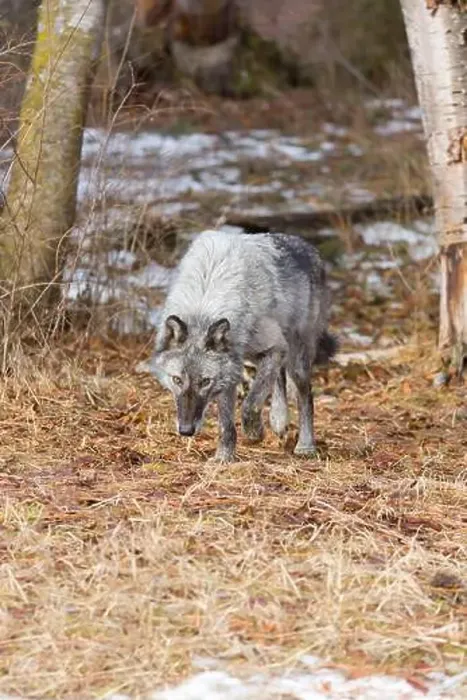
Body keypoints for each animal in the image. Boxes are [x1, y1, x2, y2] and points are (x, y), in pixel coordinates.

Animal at [149, 229, 337, 462]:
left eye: (204, 382)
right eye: (176, 380)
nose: (185, 430)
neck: (204, 307)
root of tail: (309, 247)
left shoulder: (272, 349)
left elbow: (251, 402)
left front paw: (254, 432)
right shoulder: (231, 369)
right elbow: (226, 424)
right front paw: (223, 457)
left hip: (296, 358)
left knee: (305, 395)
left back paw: (305, 445)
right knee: (278, 378)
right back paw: (278, 420)